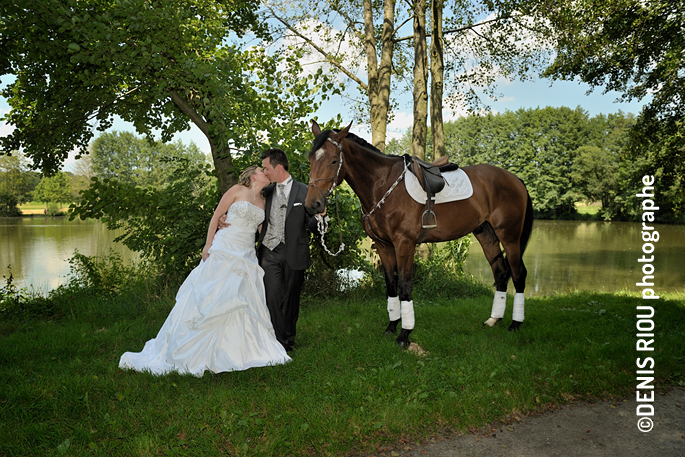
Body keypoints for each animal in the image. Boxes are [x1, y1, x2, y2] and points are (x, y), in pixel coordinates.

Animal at [304, 119, 536, 348]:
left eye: (334, 161)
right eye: (310, 159)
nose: (313, 204)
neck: (383, 185)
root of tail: (515, 180)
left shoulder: (404, 244)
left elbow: (405, 285)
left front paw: (404, 334)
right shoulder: (383, 245)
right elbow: (391, 284)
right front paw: (391, 326)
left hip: (509, 237)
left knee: (518, 273)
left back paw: (515, 323)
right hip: (486, 234)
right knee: (501, 272)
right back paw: (493, 319)